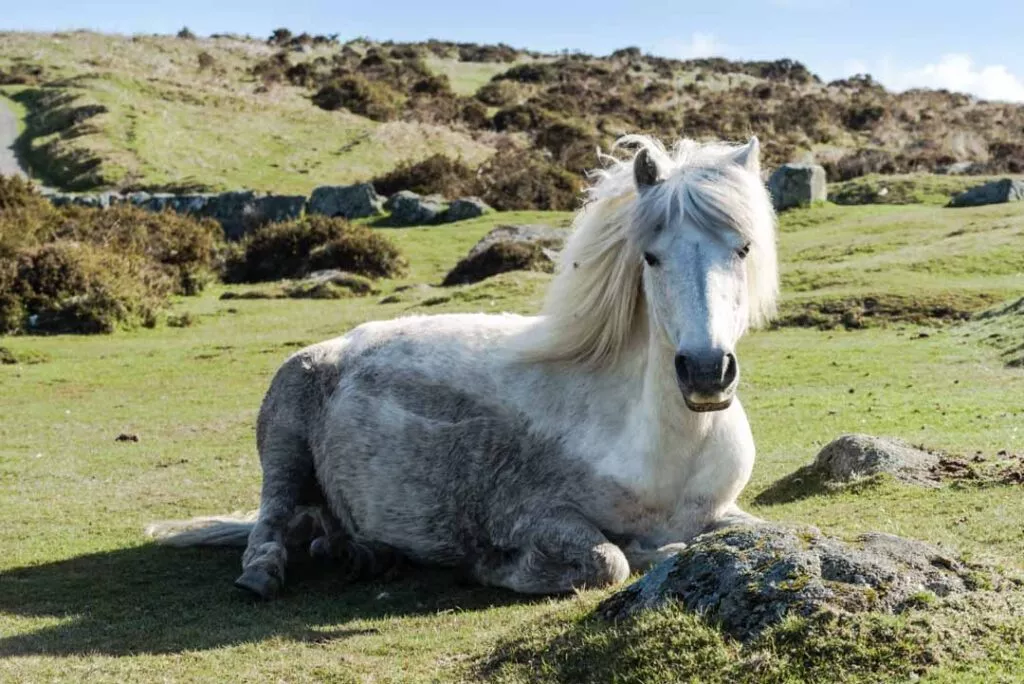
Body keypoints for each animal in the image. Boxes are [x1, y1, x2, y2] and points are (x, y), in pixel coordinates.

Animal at [147, 134, 779, 599]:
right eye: (651, 257)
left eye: (743, 248)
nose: (705, 371)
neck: (663, 447)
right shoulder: (531, 513)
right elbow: (610, 560)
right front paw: (490, 566)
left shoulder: (724, 509)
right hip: (284, 438)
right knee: (272, 517)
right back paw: (264, 572)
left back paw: (364, 555)